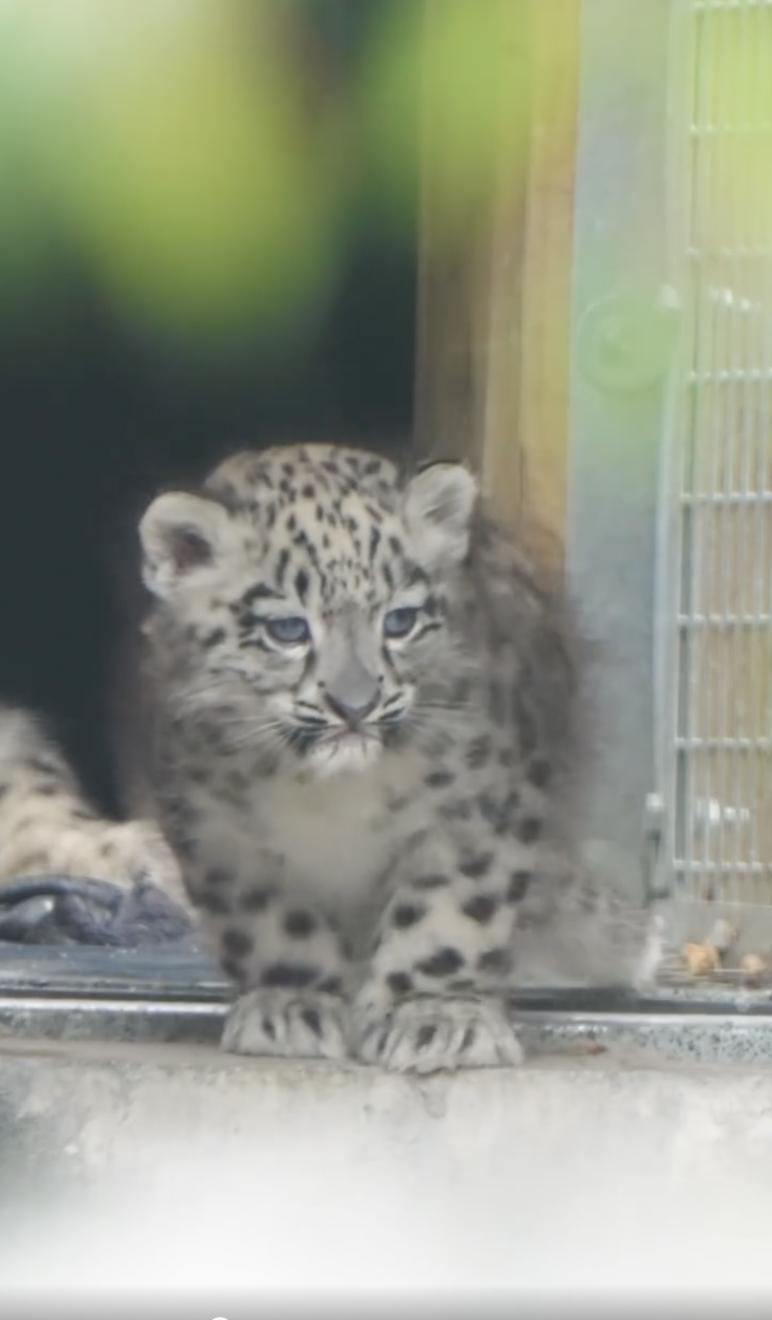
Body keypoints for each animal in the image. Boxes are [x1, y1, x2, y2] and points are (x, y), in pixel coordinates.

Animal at [136, 441, 650, 1073]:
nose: (355, 705)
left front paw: (435, 1017)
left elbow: (449, 913)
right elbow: (272, 922)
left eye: (400, 621)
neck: (329, 800)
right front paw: (293, 1006)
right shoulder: (219, 831)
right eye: (287, 629)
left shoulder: (478, 812)